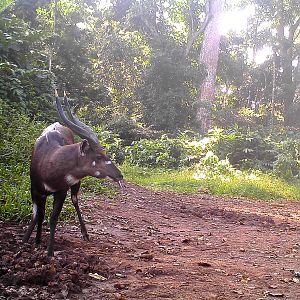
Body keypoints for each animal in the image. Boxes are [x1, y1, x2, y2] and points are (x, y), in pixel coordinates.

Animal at [22, 91, 123, 255]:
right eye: (99, 156)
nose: (120, 175)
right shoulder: (35, 190)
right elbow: (37, 214)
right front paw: (29, 241)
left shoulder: (61, 191)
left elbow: (53, 218)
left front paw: (49, 253)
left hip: (75, 184)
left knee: (75, 200)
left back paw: (85, 234)